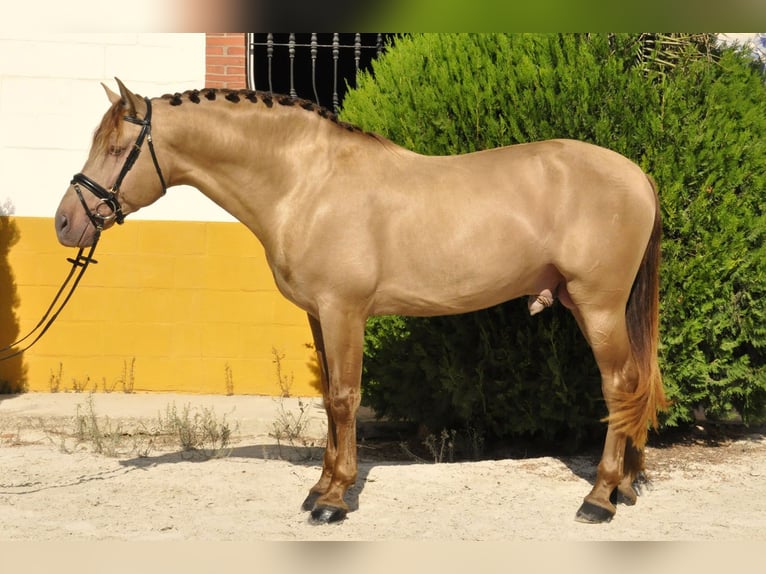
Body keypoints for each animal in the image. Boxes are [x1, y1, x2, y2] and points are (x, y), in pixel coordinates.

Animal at [55, 78, 668, 525]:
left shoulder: (343, 310)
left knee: (620, 386)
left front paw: (333, 501)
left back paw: (599, 498)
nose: (65, 223)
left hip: (598, 306)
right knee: (636, 384)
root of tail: (638, 175)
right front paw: (321, 487)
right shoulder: (318, 315)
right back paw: (626, 487)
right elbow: (329, 400)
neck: (305, 183)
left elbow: (346, 399)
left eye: (117, 149)